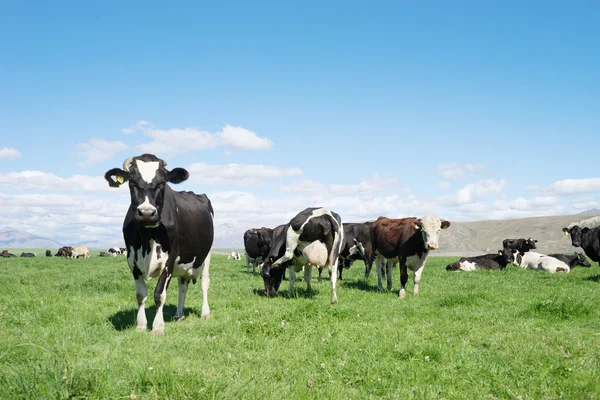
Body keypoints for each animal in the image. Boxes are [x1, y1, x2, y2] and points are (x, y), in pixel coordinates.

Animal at [104, 153, 214, 334]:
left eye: (162, 183)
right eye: (132, 182)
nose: (147, 213)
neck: (147, 238)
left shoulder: (169, 259)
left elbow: (159, 294)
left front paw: (157, 327)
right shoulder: (132, 260)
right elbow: (141, 295)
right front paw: (141, 325)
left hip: (206, 256)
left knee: (204, 284)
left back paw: (205, 313)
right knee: (182, 285)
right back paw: (178, 314)